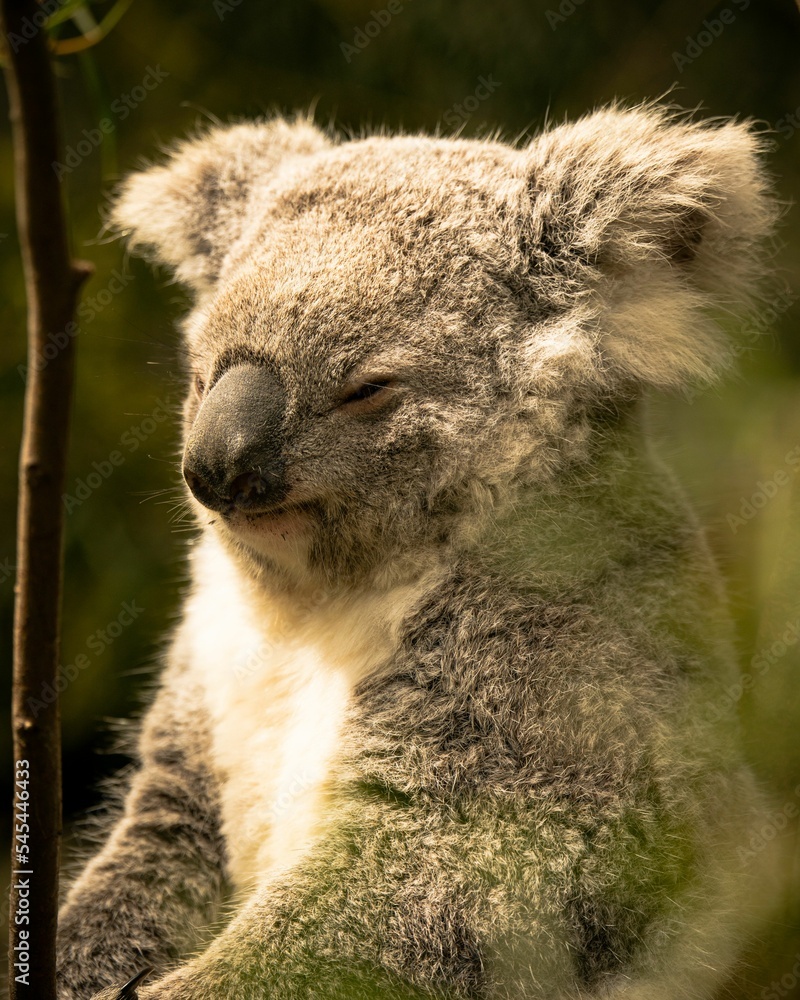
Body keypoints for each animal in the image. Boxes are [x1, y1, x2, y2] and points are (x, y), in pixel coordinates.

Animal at [56, 104, 777, 1000]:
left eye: (367, 388)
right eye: (197, 374)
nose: (216, 470)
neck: (322, 602)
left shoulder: (549, 685)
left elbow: (414, 893)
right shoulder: (204, 704)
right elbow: (150, 851)